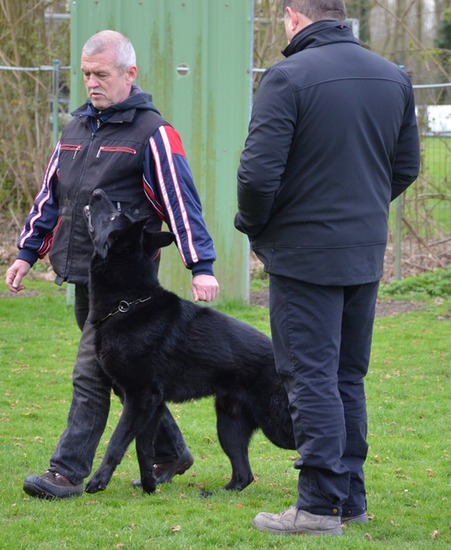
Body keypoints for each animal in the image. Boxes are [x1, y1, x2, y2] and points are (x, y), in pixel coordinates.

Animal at [84, 189, 296, 496]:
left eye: (113, 216)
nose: (98, 192)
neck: (128, 303)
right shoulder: (150, 406)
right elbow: (143, 450)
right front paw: (150, 487)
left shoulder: (140, 398)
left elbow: (117, 442)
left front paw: (98, 481)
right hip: (228, 424)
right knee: (243, 475)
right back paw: (215, 494)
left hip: (274, 425)